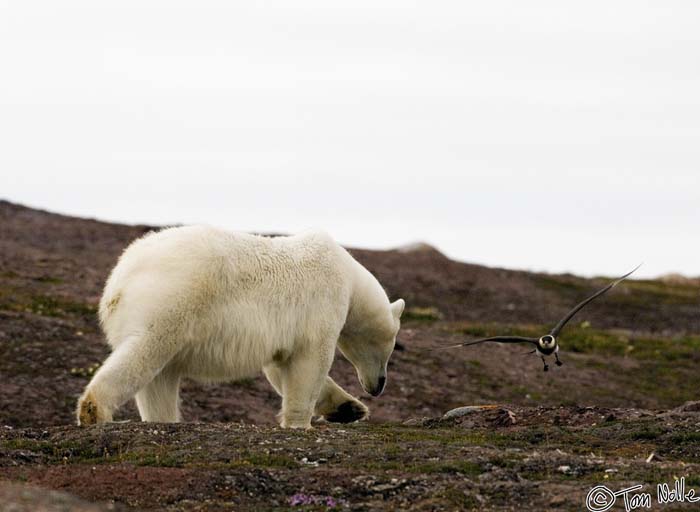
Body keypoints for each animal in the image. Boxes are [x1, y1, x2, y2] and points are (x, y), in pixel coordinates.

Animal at [76, 226, 404, 430]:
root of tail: (117, 283)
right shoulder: (323, 303)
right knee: (144, 353)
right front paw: (302, 423)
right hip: (172, 301)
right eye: (392, 345)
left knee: (160, 380)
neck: (349, 276)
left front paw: (350, 409)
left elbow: (280, 367)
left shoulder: (282, 333)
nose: (379, 385)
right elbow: (311, 363)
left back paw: (164, 420)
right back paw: (94, 410)